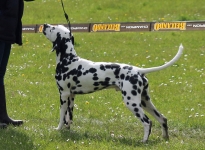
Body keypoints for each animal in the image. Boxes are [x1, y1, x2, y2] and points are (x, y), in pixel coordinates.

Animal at [42, 24, 183, 142]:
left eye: (53, 28)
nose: (44, 25)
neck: (69, 60)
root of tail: (138, 70)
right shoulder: (71, 96)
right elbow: (69, 118)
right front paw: (67, 130)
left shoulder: (64, 95)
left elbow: (62, 116)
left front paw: (58, 129)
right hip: (144, 101)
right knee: (162, 119)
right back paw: (165, 137)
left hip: (131, 102)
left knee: (148, 122)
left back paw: (144, 141)